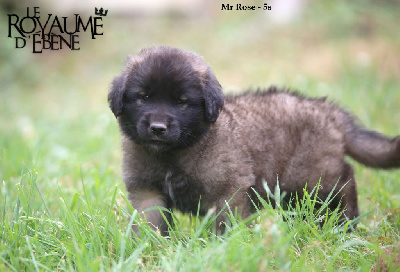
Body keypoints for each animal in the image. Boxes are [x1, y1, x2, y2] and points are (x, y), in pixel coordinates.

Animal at [107, 45, 400, 235]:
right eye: (143, 97)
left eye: (182, 102)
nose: (157, 128)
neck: (174, 153)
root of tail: (330, 112)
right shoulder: (146, 192)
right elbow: (150, 224)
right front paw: (150, 250)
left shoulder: (228, 190)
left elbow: (225, 225)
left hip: (312, 176)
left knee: (344, 181)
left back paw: (346, 224)